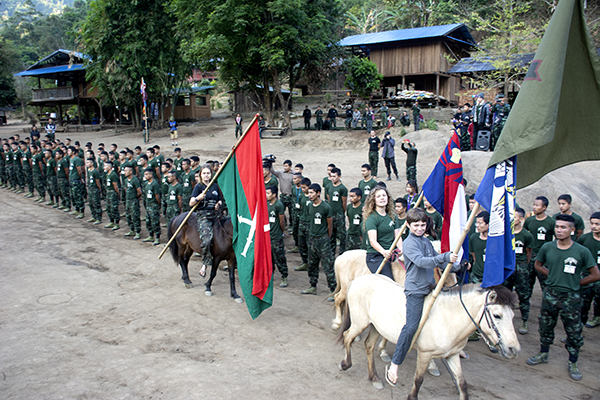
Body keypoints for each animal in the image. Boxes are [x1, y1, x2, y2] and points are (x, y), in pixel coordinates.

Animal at [338, 274, 520, 398]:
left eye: (512, 316)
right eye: (497, 315)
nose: (514, 349)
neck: (449, 317)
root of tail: (357, 280)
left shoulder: (452, 355)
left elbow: (462, 384)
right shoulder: (425, 353)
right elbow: (418, 380)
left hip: (377, 327)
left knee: (369, 345)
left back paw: (374, 377)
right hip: (360, 322)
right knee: (347, 336)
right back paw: (346, 364)